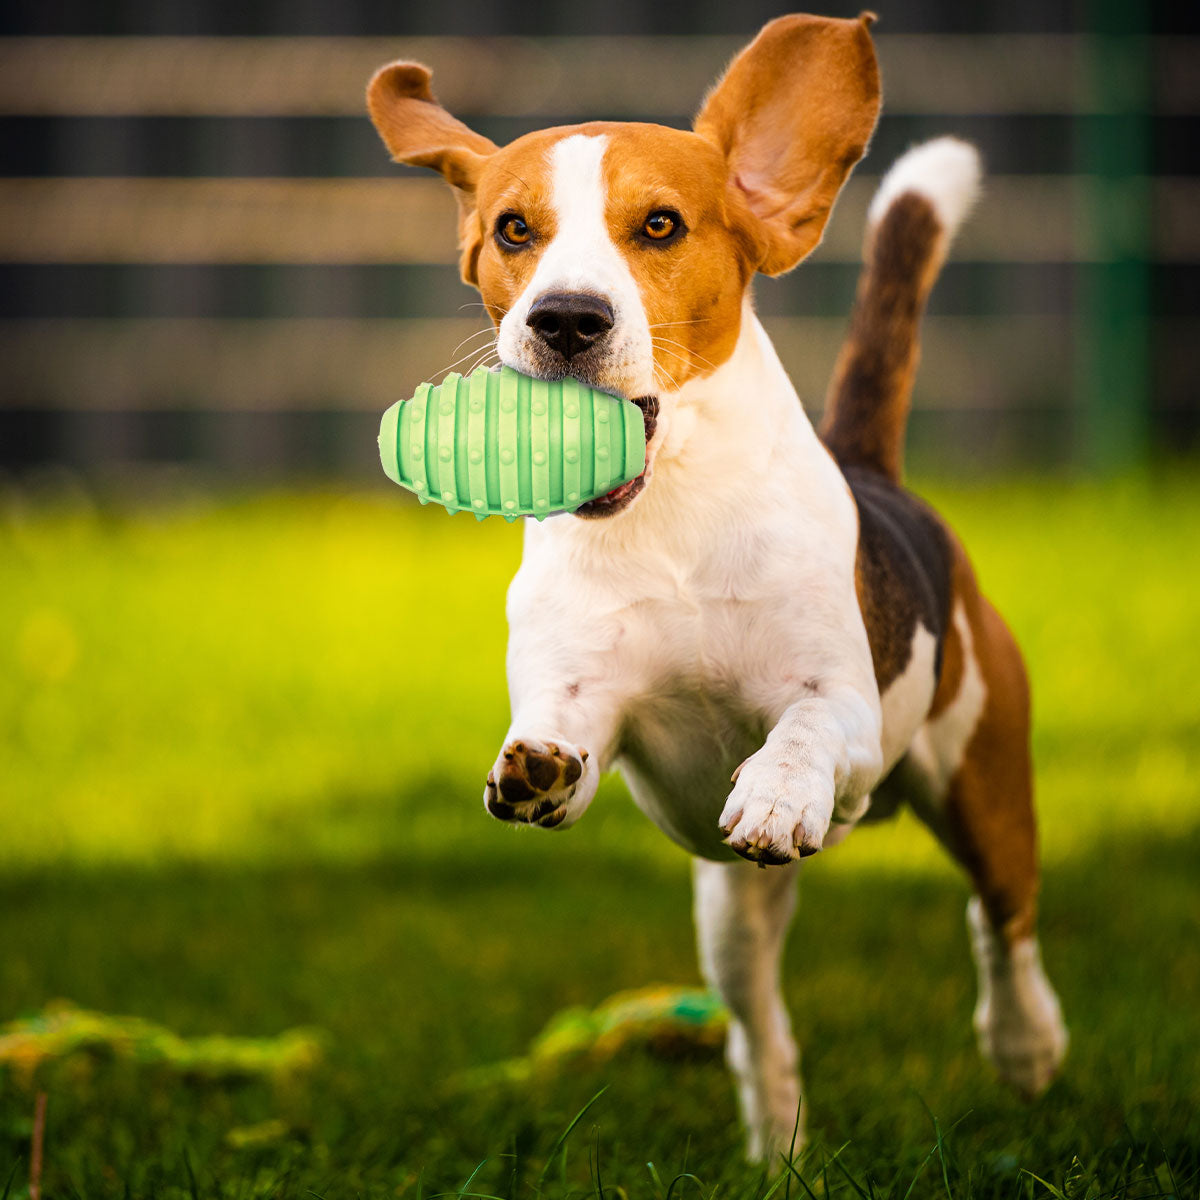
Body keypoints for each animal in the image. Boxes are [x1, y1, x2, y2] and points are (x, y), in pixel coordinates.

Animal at [367, 14, 1070, 1156]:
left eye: (659, 225)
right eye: (514, 230)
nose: (565, 319)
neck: (672, 522)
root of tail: (877, 470)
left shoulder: (843, 707)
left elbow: (804, 729)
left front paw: (778, 789)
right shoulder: (588, 699)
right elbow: (564, 743)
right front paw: (534, 766)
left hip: (980, 777)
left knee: (1000, 920)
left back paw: (1025, 1043)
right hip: (729, 917)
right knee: (761, 1030)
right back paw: (779, 1150)